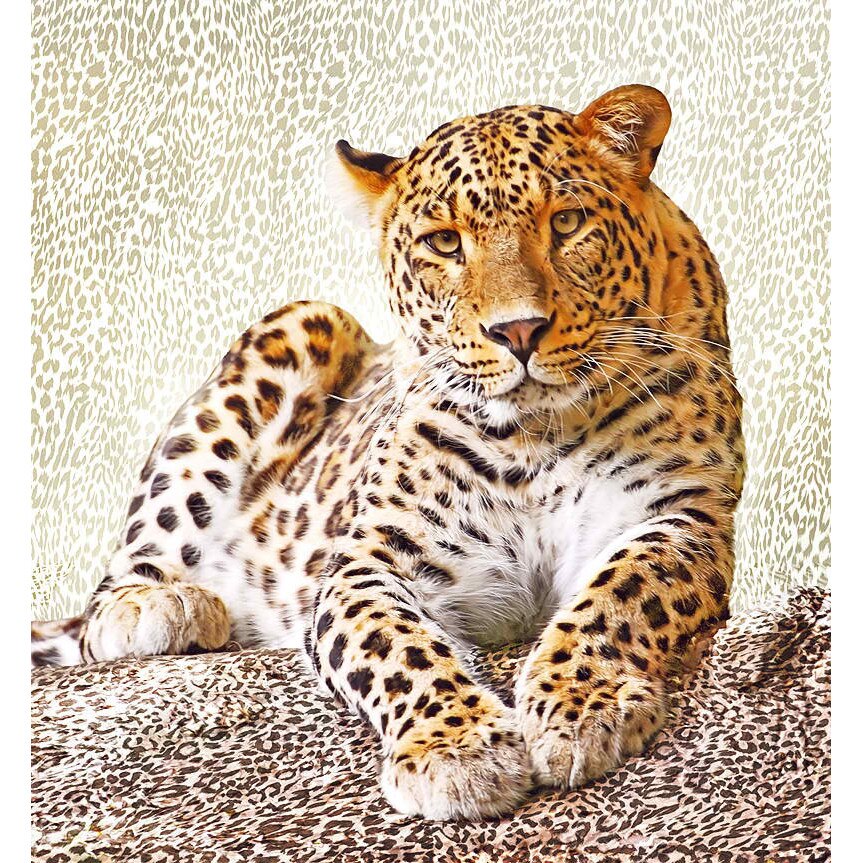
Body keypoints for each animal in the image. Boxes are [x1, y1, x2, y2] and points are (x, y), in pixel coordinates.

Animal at [32, 84, 745, 821]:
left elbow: (619, 592)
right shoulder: (369, 561)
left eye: (568, 222)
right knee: (109, 593)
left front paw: (582, 706)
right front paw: (454, 749)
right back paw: (160, 605)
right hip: (302, 320)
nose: (518, 330)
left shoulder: (681, 515)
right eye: (444, 243)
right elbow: (396, 646)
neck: (536, 435)